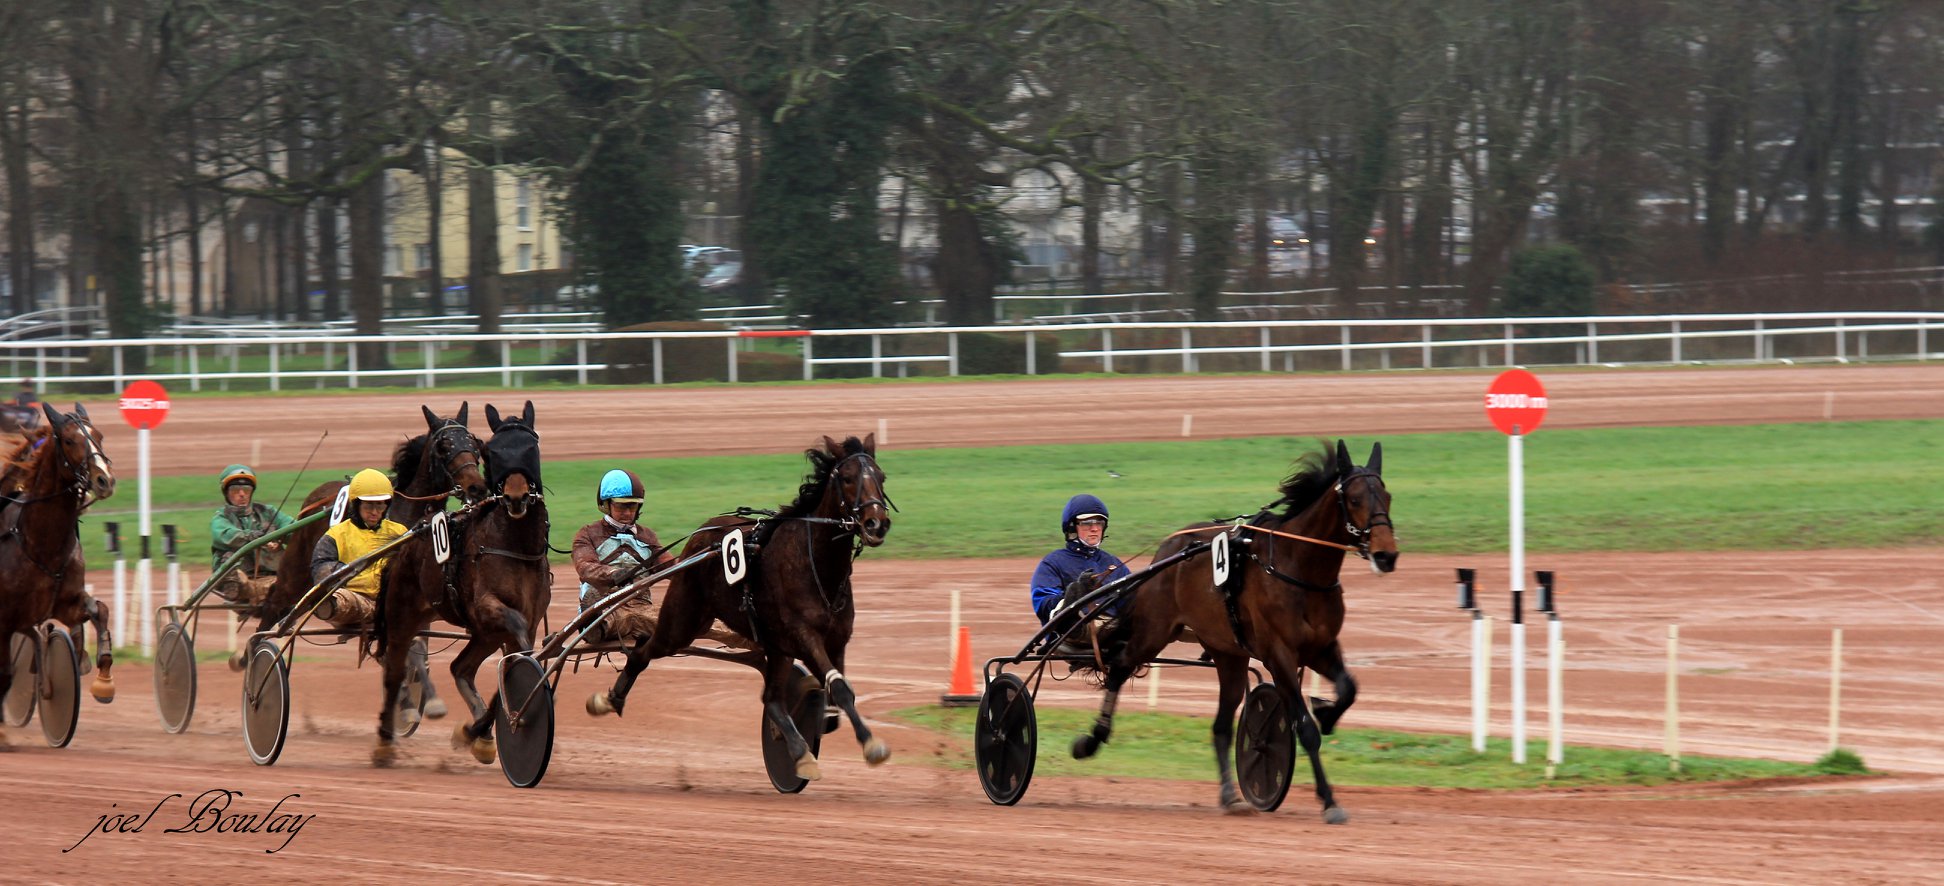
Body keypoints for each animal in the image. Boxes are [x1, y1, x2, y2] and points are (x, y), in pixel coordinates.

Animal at [0, 402, 118, 742]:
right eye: (68, 440)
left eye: (99, 436)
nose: (104, 480)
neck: (40, 544)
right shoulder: (5, 618)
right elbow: (5, 674)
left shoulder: (64, 603)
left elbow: (100, 611)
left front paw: (102, 680)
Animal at [234, 402, 486, 672]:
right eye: (444, 446)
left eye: (473, 443)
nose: (477, 487)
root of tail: (314, 499)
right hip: (295, 573)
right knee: (275, 605)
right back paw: (251, 656)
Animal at [371, 402, 548, 769]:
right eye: (492, 450)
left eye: (531, 447)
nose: (515, 496)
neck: (516, 546)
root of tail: (408, 537)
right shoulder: (491, 609)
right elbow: (519, 646)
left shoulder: (529, 618)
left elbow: (512, 661)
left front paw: (476, 732)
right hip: (403, 616)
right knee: (395, 670)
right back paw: (385, 741)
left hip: (482, 634)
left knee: (460, 667)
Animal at [583, 435, 894, 781]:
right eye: (848, 478)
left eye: (881, 477)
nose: (877, 523)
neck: (815, 564)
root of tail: (700, 538)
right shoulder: (805, 636)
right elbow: (838, 688)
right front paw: (871, 744)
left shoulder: (836, 640)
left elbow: (839, 690)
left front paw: (827, 719)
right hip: (681, 623)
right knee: (641, 654)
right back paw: (608, 700)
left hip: (771, 644)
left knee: (771, 699)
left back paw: (799, 750)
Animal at [1073, 439, 1391, 819]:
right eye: (1355, 499)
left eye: (1387, 496)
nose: (1386, 555)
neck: (1298, 569)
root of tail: (1165, 551)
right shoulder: (1279, 654)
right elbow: (1305, 728)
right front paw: (1329, 801)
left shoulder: (1322, 647)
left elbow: (1348, 689)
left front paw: (1326, 713)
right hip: (1154, 631)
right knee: (1120, 667)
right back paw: (1092, 739)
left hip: (1227, 653)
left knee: (1222, 724)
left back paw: (1230, 795)